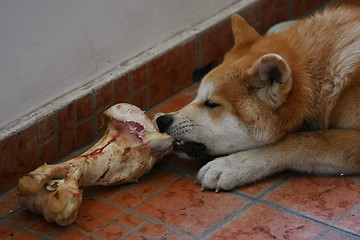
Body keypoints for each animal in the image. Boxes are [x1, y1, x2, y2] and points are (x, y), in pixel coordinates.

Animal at [155, 5, 360, 192]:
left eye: (212, 103)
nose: (161, 120)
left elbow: (301, 140)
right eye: (197, 95)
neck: (325, 82)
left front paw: (231, 166)